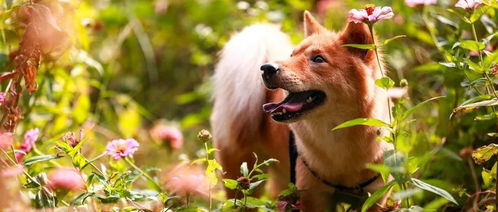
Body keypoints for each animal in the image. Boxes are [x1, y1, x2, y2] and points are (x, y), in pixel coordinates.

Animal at [210, 12, 392, 212]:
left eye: (318, 59)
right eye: (292, 55)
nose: (267, 68)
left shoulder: (376, 196)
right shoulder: (312, 195)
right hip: (242, 182)